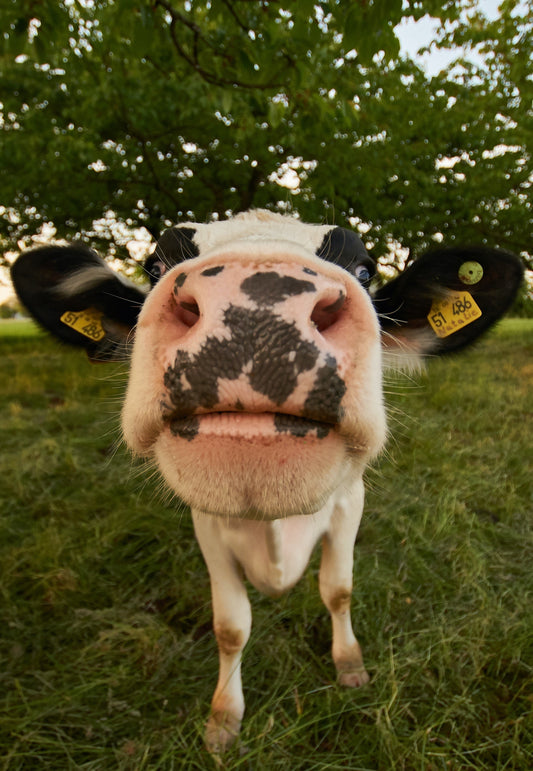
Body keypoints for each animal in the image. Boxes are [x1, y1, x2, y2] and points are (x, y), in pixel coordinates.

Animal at [11, 210, 523, 752]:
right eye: (154, 266)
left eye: (365, 269)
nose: (255, 308)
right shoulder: (208, 525)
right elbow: (231, 627)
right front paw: (223, 717)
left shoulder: (350, 503)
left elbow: (338, 590)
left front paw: (349, 663)